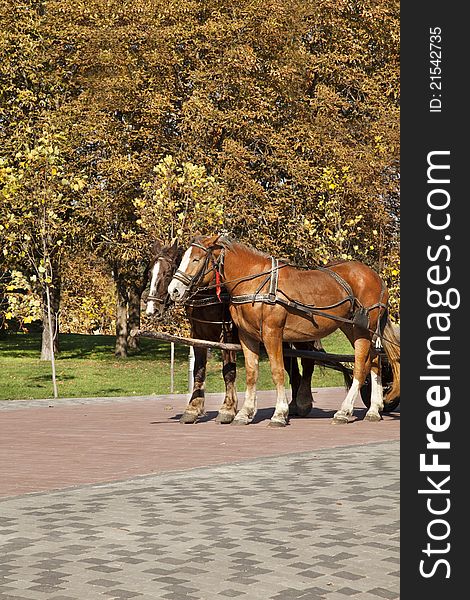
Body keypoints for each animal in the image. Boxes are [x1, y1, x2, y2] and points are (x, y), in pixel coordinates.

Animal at [143, 238, 320, 422]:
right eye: (150, 274)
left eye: (168, 273)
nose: (151, 310)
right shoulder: (198, 336)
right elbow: (199, 371)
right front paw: (193, 408)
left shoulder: (226, 336)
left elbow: (228, 371)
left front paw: (227, 408)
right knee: (293, 370)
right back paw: (293, 405)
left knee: (307, 363)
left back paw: (303, 402)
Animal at [168, 234, 400, 426]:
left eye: (196, 259)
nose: (174, 290)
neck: (256, 282)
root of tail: (376, 277)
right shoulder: (246, 336)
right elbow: (251, 373)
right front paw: (245, 412)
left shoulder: (272, 333)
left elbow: (277, 371)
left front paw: (280, 413)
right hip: (352, 328)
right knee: (375, 362)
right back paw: (374, 409)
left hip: (363, 329)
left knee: (361, 366)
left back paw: (344, 411)